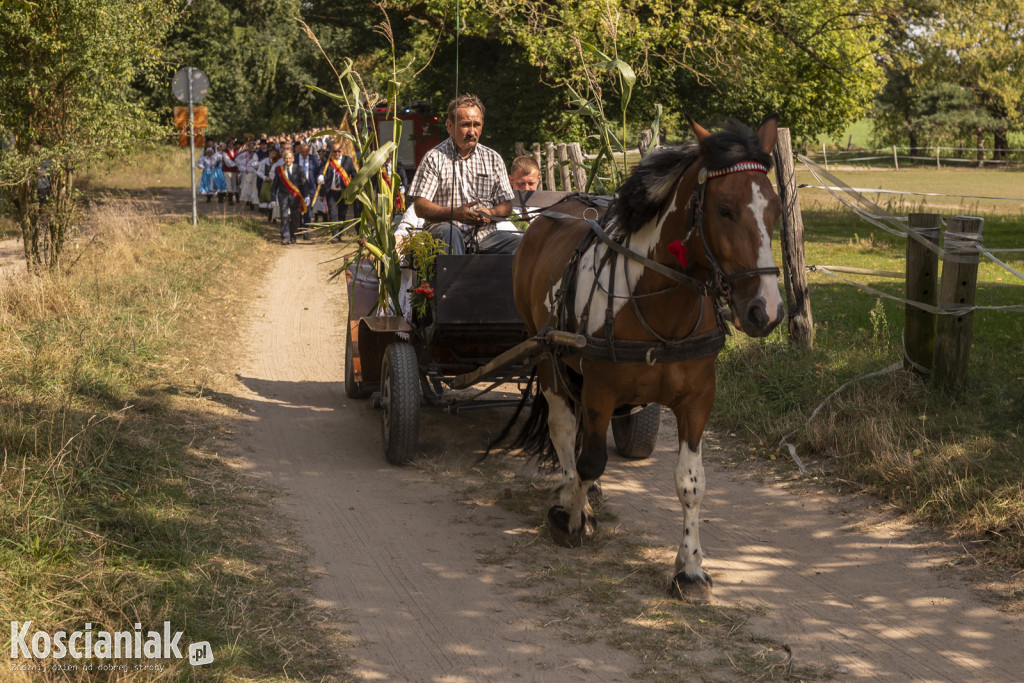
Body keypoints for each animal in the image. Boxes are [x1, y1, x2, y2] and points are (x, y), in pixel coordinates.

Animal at [509, 114, 782, 602]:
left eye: (775, 210)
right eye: (724, 209)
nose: (765, 310)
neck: (657, 306)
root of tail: (551, 214)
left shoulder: (698, 398)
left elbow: (691, 483)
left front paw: (689, 569)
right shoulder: (599, 390)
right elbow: (588, 458)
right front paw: (572, 517)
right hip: (546, 354)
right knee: (563, 428)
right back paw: (569, 493)